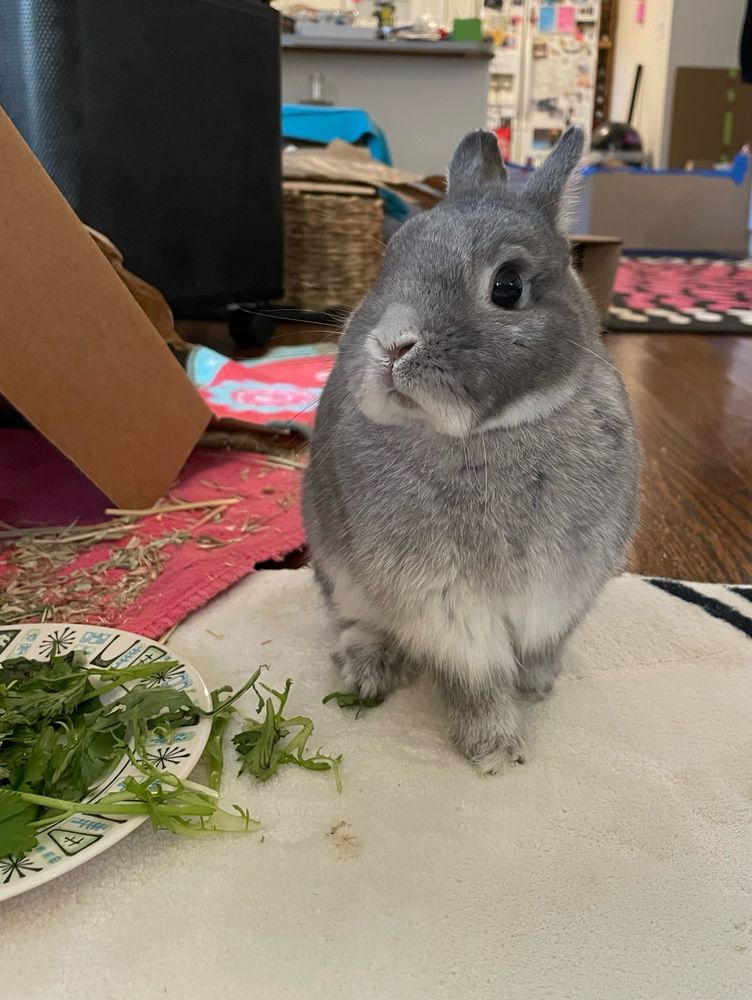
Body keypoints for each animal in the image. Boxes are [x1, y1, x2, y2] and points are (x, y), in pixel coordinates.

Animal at [302, 127, 638, 773]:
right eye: (390, 260)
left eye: (507, 286)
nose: (392, 346)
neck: (490, 435)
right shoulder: (446, 606)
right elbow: (474, 678)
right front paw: (495, 750)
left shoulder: (564, 588)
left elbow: (539, 646)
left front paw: (538, 685)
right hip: (336, 569)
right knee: (352, 620)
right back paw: (370, 670)